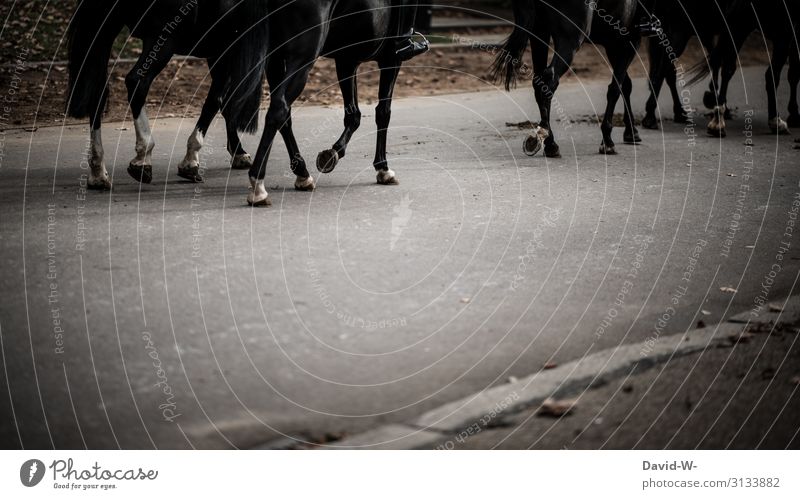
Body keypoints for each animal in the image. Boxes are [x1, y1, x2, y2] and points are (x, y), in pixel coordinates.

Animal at [65, 0, 266, 190]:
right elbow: (217, 102)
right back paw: (143, 155)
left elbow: (223, 103)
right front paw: (191, 160)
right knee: (137, 82)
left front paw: (238, 152)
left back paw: (98, 172)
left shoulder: (218, 50)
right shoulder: (227, 48)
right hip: (163, 39)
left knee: (97, 93)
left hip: (106, 29)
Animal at [222, 0, 422, 206]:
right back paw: (258, 185)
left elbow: (354, 115)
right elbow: (383, 113)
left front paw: (332, 153)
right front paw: (383, 168)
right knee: (278, 110)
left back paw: (301, 174)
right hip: (301, 59)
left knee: (277, 113)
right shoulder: (391, 60)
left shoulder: (347, 59)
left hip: (275, 59)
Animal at [494, 0, 648, 158]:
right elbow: (616, 88)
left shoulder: (613, 44)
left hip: (539, 32)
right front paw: (608, 141)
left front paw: (631, 131)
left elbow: (625, 85)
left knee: (539, 83)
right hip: (570, 39)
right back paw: (547, 139)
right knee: (550, 79)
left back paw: (548, 141)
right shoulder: (629, 41)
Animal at [640, 0, 736, 131]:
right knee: (662, 71)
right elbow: (726, 67)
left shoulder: (706, 31)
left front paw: (715, 100)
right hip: (680, 31)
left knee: (668, 73)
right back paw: (651, 117)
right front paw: (720, 108)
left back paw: (679, 113)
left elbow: (715, 62)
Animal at [688, 0, 800, 137]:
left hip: (741, 22)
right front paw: (794, 115)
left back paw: (718, 120)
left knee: (728, 68)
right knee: (772, 74)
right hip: (780, 28)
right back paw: (775, 121)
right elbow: (794, 73)